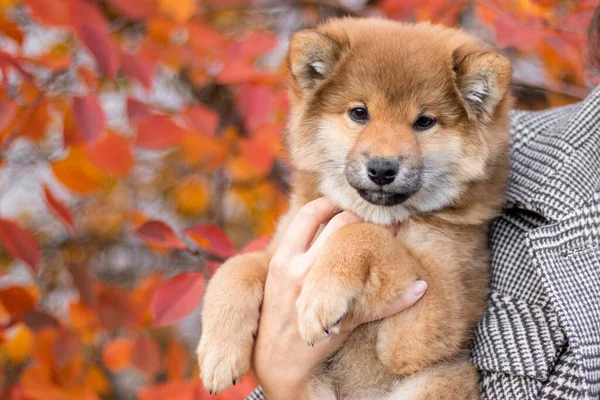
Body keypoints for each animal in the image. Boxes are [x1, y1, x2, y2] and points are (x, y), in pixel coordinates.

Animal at [196, 16, 510, 400]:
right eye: (359, 113)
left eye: (424, 122)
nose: (382, 169)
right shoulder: (282, 251)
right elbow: (235, 269)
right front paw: (218, 354)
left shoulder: (429, 320)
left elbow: (363, 234)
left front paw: (321, 296)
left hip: (441, 378)